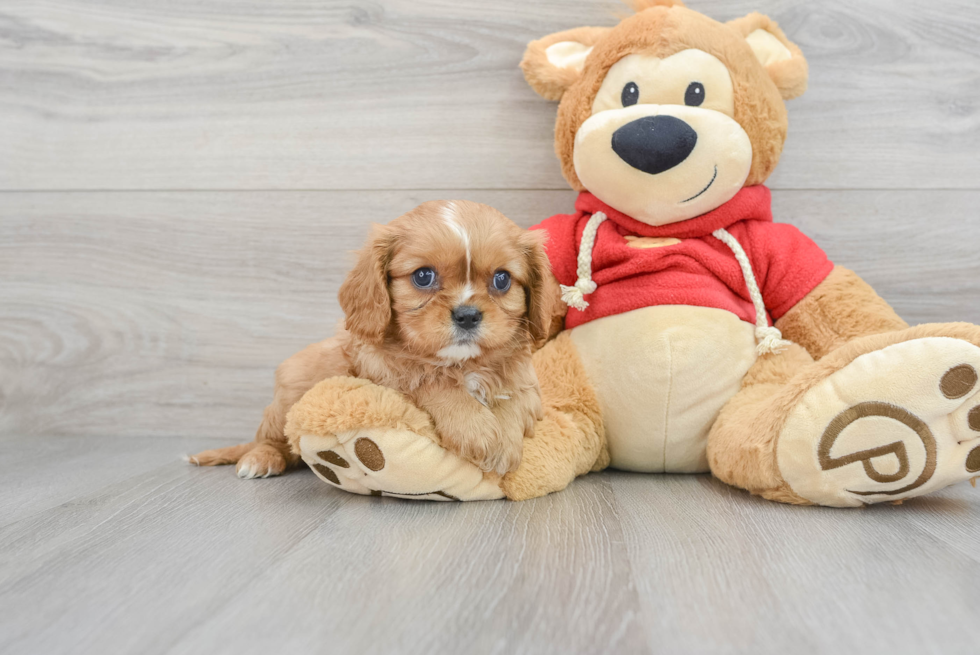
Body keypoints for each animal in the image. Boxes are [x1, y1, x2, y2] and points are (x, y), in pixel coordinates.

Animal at [189, 197, 560, 480]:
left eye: (502, 280)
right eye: (423, 276)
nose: (467, 315)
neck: (463, 364)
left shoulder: (526, 382)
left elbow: (513, 397)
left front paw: (506, 441)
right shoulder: (387, 372)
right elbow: (432, 382)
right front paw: (480, 433)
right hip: (290, 395)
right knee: (270, 439)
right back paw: (258, 459)